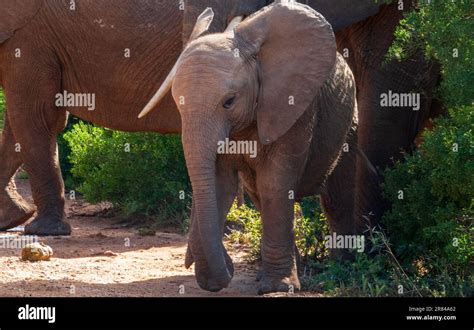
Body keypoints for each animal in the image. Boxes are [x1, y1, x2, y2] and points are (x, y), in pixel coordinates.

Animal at [144, 1, 360, 292]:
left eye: (229, 101)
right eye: (178, 104)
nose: (228, 269)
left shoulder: (293, 107)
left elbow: (274, 184)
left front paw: (277, 287)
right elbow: (220, 182)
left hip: (350, 123)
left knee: (337, 197)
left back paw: (341, 268)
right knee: (259, 195)